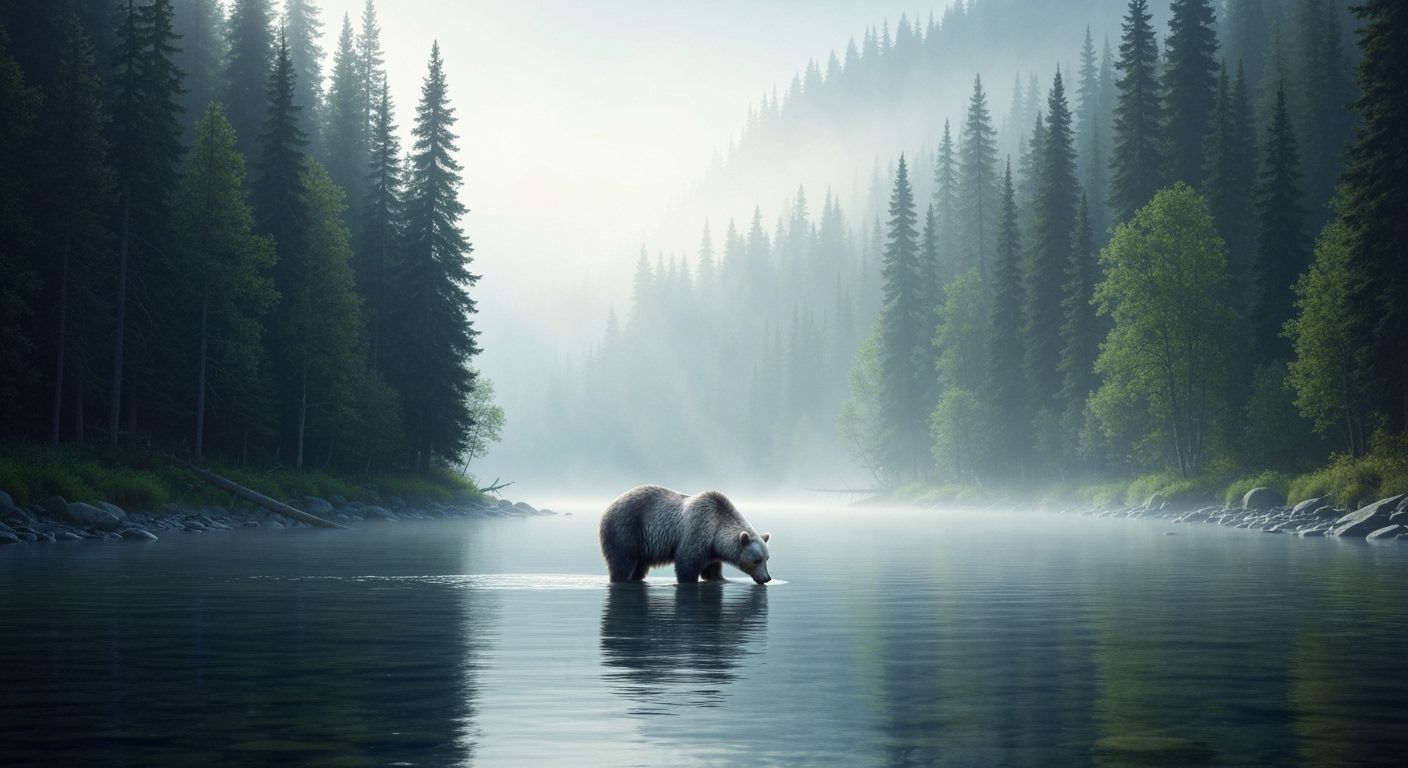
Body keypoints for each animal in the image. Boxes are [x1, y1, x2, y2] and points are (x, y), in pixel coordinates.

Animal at [599, 485, 772, 584]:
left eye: (767, 558)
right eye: (757, 560)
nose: (767, 578)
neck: (715, 532)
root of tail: (608, 506)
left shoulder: (711, 551)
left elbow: (712, 571)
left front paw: (722, 578)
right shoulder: (696, 532)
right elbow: (687, 566)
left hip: (641, 547)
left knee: (638, 567)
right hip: (626, 531)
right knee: (621, 563)